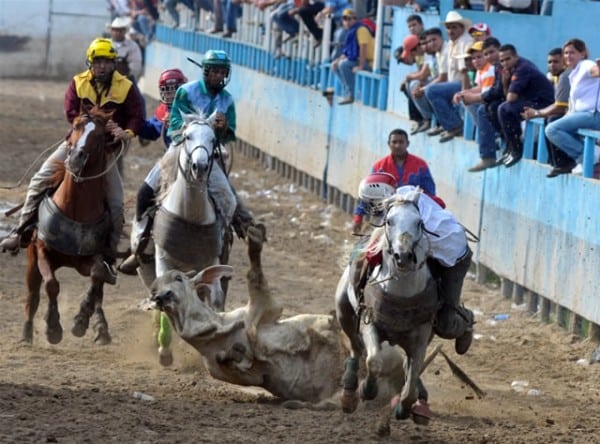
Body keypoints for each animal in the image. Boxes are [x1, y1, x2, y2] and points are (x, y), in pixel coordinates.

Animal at [21, 107, 117, 346]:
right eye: (75, 126)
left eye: (100, 135)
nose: (75, 159)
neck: (75, 208)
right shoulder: (42, 251)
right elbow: (51, 285)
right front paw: (53, 328)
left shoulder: (91, 259)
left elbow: (97, 276)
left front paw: (81, 320)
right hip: (31, 260)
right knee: (32, 295)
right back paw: (26, 334)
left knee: (99, 292)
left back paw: (101, 329)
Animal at [332, 189, 436, 436]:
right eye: (390, 221)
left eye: (419, 223)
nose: (403, 256)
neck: (401, 291)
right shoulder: (370, 324)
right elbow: (374, 361)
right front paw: (367, 390)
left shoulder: (421, 337)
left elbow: (411, 381)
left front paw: (404, 408)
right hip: (344, 311)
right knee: (355, 348)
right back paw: (349, 394)